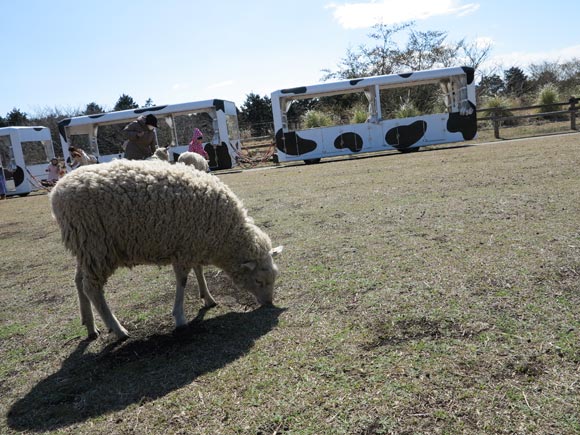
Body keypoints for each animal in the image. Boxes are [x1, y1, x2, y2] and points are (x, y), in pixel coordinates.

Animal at [51, 160, 282, 340]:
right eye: (259, 281)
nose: (269, 303)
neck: (226, 235)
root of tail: (56, 191)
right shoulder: (184, 249)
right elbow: (182, 282)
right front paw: (180, 317)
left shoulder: (193, 244)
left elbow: (198, 271)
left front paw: (207, 297)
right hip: (96, 246)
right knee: (92, 288)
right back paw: (118, 330)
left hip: (84, 247)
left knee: (79, 282)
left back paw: (90, 325)